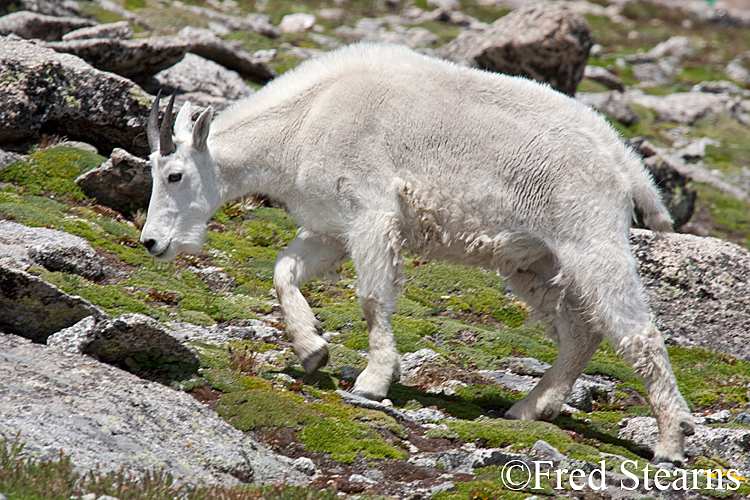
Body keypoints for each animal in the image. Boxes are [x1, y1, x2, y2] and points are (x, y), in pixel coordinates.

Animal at [140, 43, 694, 465]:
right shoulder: (330, 229)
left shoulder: (371, 214)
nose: (152, 242)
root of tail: (623, 160)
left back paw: (670, 443)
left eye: (175, 175)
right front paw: (312, 349)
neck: (302, 122)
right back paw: (530, 408)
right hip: (533, 260)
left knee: (640, 335)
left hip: (590, 239)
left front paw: (372, 380)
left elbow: (371, 298)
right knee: (580, 329)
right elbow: (284, 271)